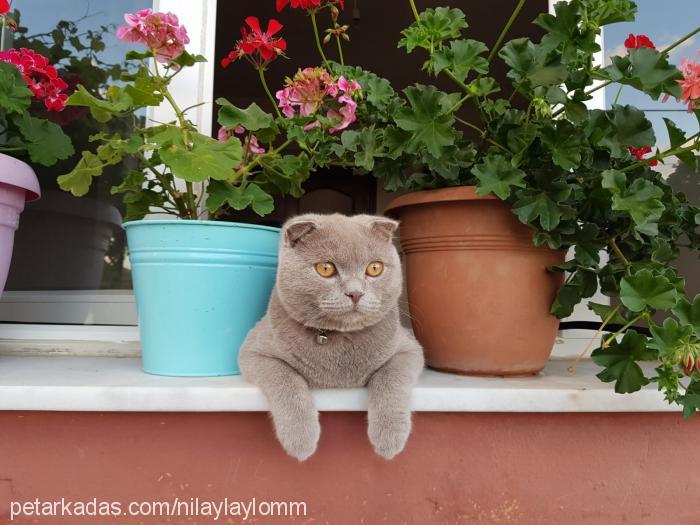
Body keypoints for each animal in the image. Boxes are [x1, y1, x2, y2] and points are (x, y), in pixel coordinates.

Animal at [241, 212, 424, 458]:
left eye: (374, 268)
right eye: (325, 268)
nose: (355, 293)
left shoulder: (409, 349)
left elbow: (390, 377)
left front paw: (389, 437)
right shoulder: (253, 352)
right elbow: (285, 379)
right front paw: (301, 439)